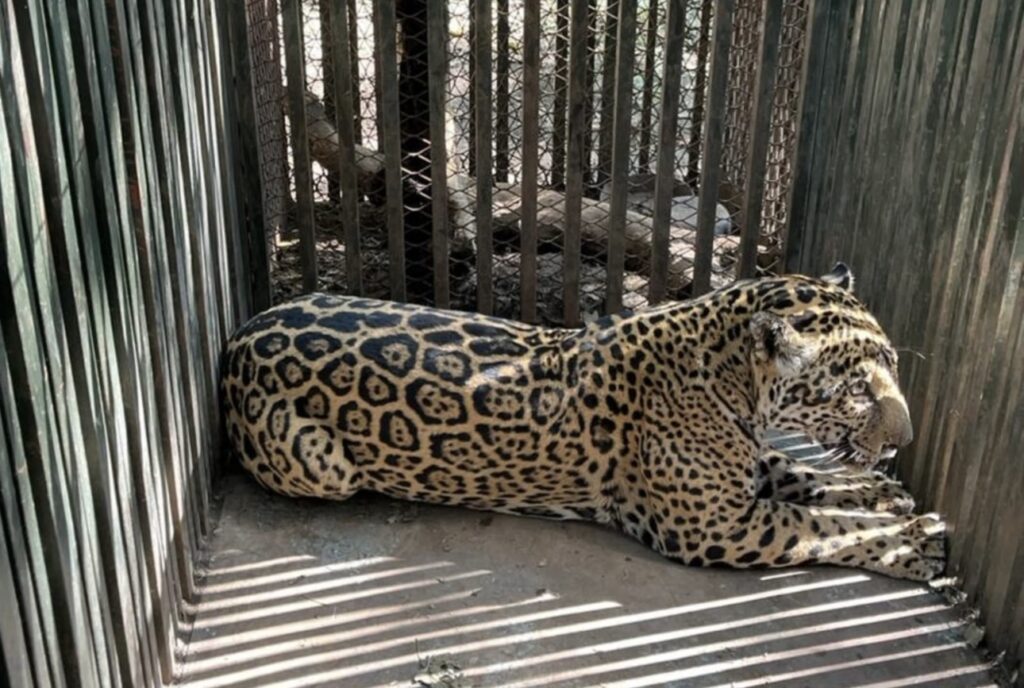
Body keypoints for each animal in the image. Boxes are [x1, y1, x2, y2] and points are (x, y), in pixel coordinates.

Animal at [221, 263, 946, 581]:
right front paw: (913, 543)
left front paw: (883, 493)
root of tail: (239, 334)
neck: (730, 383)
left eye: (891, 366)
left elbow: (804, 475)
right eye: (856, 389)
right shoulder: (717, 528)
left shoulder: (744, 470)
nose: (906, 441)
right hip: (323, 466)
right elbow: (822, 528)